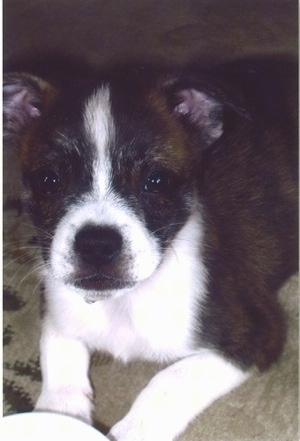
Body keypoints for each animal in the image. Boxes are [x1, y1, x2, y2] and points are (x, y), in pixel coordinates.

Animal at [4, 59, 298, 440]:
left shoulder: (255, 332)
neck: (122, 303)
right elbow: (56, 354)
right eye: (48, 180)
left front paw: (134, 430)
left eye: (156, 181)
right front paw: (59, 413)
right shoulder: (57, 308)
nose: (97, 244)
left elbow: (170, 380)